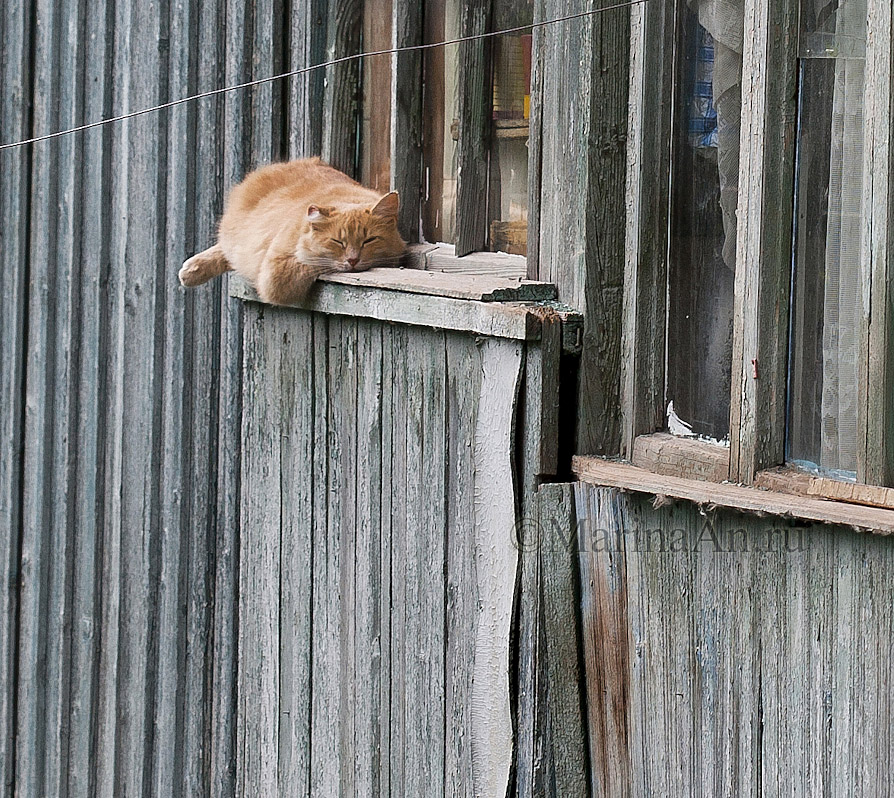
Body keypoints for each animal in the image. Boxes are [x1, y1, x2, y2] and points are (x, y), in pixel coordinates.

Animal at [178, 157, 406, 306]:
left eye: (369, 240)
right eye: (338, 242)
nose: (353, 260)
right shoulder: (276, 270)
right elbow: (313, 260)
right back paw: (190, 270)